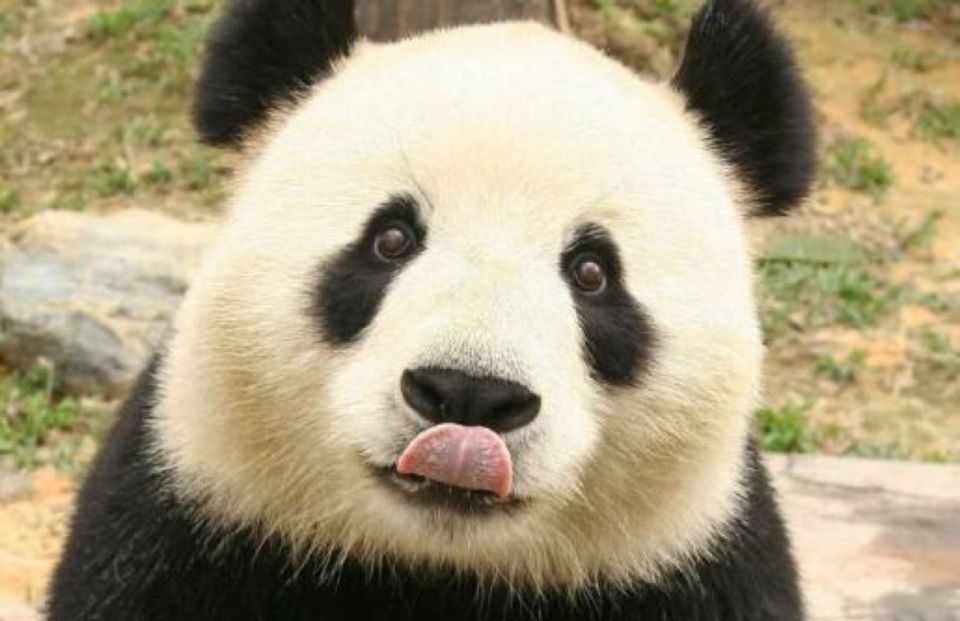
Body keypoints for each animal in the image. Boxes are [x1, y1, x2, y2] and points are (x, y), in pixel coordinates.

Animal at [48, 0, 816, 619]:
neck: (435, 565)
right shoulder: (195, 516)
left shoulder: (687, 564)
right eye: (391, 238)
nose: (470, 393)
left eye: (594, 272)